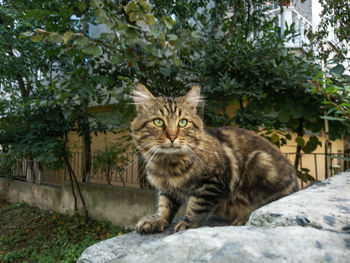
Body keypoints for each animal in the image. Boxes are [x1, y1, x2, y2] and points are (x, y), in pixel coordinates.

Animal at [131, 83, 298, 234]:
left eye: (183, 122)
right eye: (158, 122)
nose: (172, 137)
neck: (168, 165)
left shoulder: (211, 182)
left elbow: (196, 206)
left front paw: (188, 223)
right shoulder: (168, 190)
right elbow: (165, 206)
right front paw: (157, 221)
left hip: (260, 163)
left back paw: (242, 219)